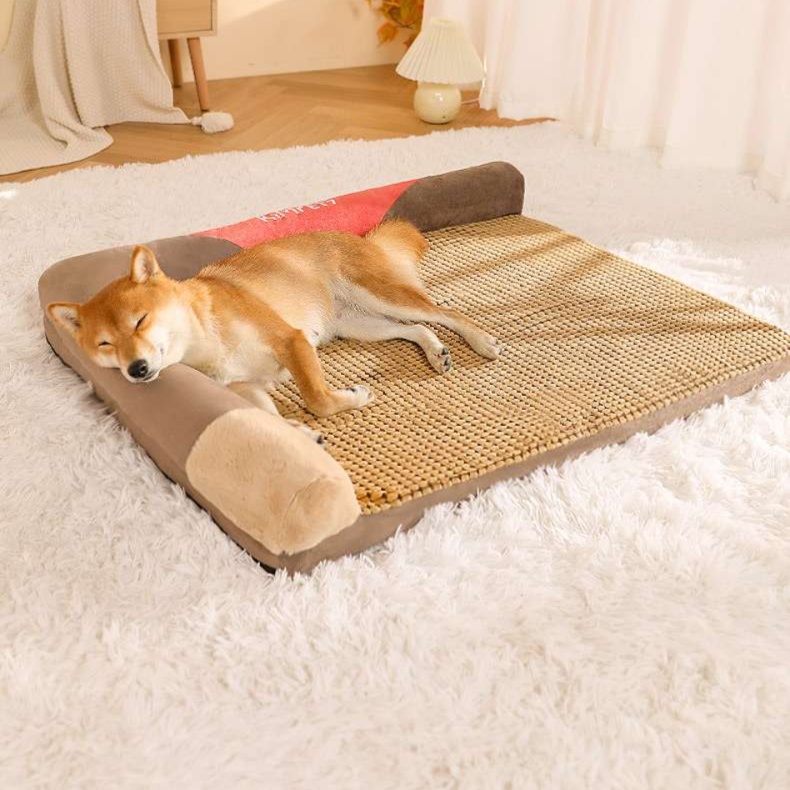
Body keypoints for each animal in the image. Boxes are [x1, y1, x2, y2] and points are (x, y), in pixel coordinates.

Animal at [47, 220, 502, 440]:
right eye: (106, 344)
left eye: (140, 320)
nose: (137, 369)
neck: (204, 341)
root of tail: (361, 237)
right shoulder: (243, 388)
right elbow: (271, 420)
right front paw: (301, 434)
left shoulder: (292, 341)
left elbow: (317, 399)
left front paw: (352, 396)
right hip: (358, 323)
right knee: (416, 328)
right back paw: (436, 352)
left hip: (378, 294)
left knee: (443, 311)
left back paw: (480, 340)